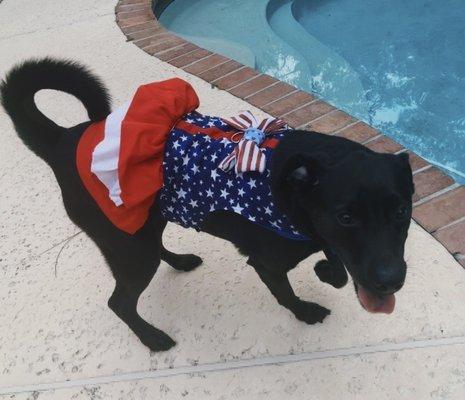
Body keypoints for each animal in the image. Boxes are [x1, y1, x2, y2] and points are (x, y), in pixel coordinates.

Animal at [0, 57, 414, 352]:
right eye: (345, 217)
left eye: (401, 213)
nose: (391, 281)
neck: (293, 184)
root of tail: (62, 140)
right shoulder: (268, 263)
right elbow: (286, 294)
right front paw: (305, 311)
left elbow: (339, 266)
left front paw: (327, 271)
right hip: (130, 247)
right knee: (120, 302)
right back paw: (152, 338)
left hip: (147, 226)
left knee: (156, 251)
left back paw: (181, 262)